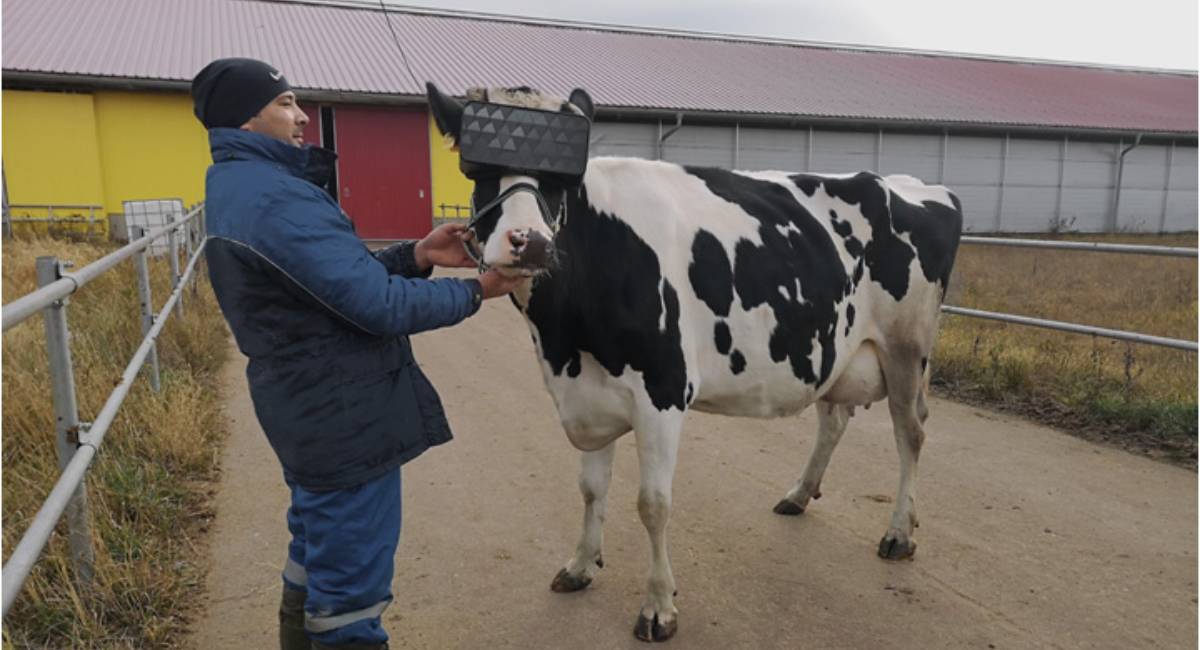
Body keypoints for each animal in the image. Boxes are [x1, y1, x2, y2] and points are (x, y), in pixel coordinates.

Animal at [427, 82, 960, 647]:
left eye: (560, 180)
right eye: (477, 172)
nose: (529, 242)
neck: (564, 340)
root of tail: (916, 185)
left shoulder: (662, 391)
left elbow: (653, 504)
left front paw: (659, 606)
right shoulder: (587, 394)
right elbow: (592, 489)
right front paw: (580, 565)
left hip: (907, 348)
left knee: (911, 432)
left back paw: (899, 532)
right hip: (833, 347)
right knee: (834, 418)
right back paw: (799, 494)